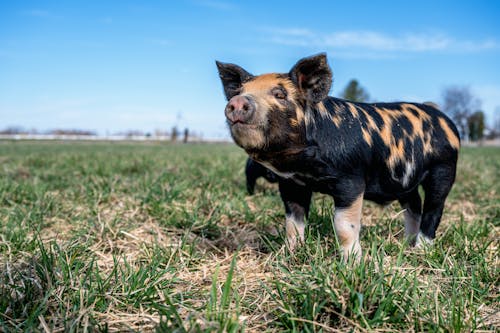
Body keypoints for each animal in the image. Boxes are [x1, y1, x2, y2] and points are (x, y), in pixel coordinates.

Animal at [217, 53, 458, 260]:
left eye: (280, 94)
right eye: (240, 92)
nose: (237, 102)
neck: (306, 166)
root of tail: (444, 119)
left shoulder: (351, 180)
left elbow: (344, 225)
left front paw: (352, 263)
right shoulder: (292, 184)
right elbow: (293, 223)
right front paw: (290, 254)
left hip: (444, 169)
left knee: (433, 210)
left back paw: (421, 250)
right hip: (405, 181)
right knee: (414, 206)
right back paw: (406, 243)